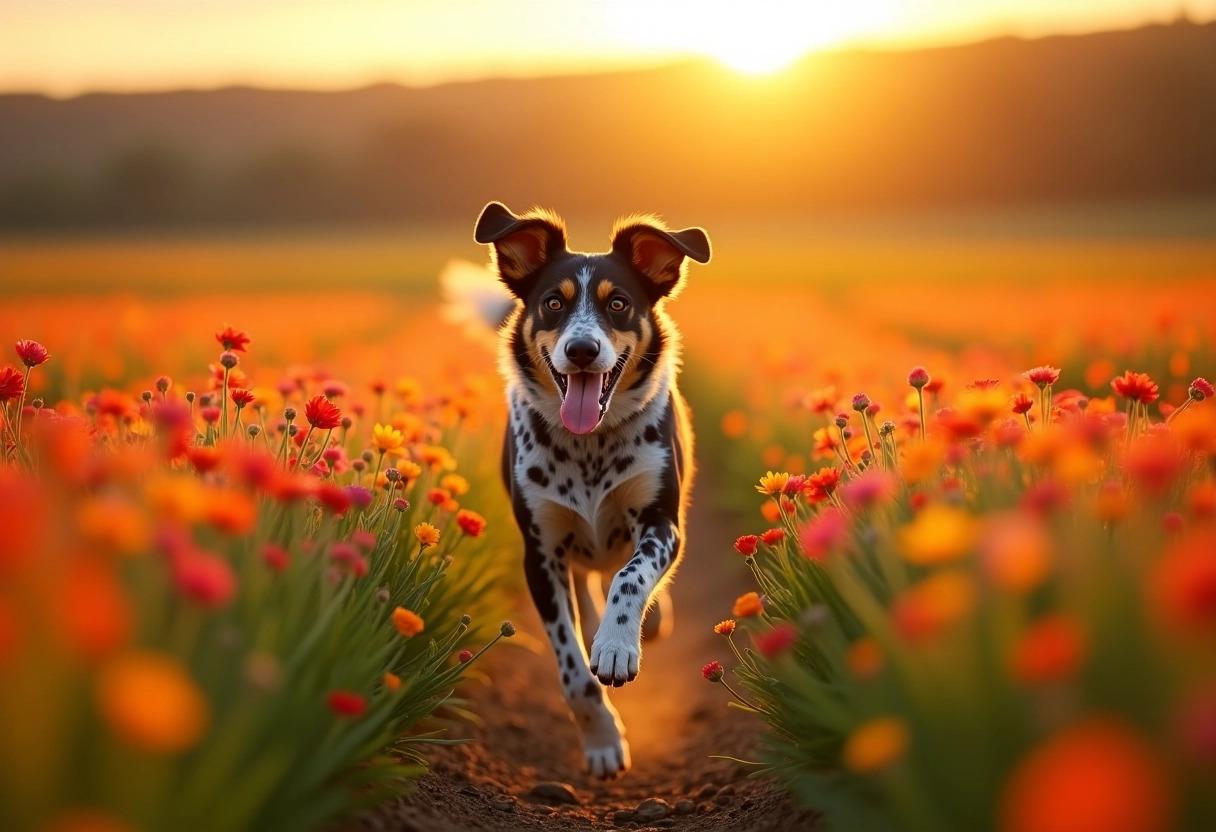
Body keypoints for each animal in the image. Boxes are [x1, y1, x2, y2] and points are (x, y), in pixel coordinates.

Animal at [469, 203, 710, 778]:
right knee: (586, 583)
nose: (581, 349)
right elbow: (573, 670)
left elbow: (632, 575)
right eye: (553, 303)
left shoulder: (661, 522)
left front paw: (619, 643)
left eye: (618, 303)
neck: (590, 448)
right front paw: (603, 742)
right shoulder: (540, 553)